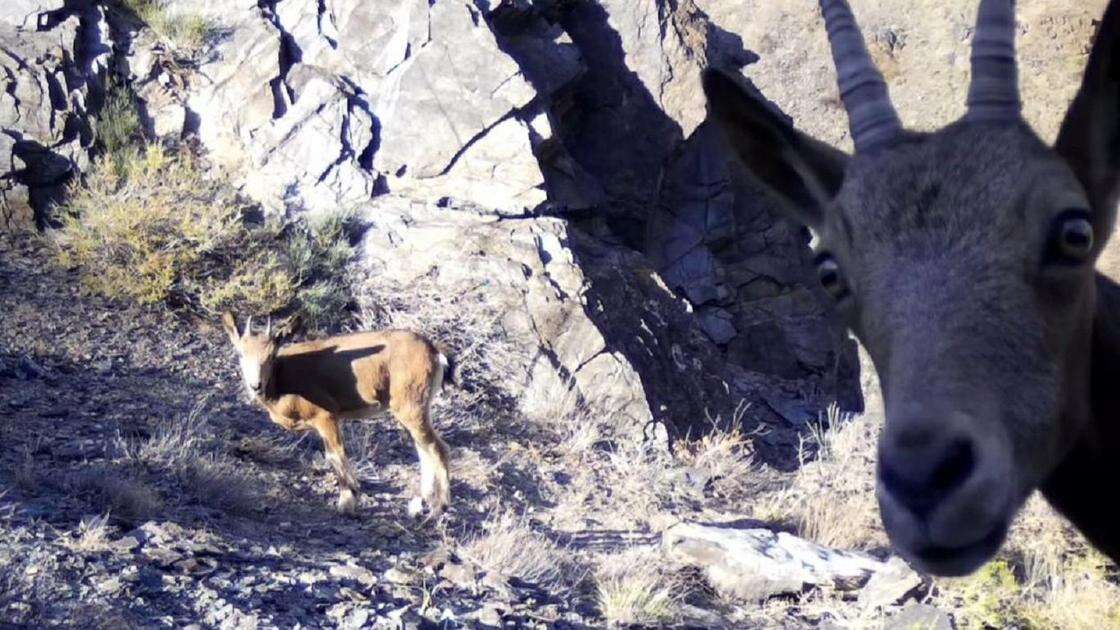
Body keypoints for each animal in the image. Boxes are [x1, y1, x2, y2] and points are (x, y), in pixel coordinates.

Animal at [220, 311, 452, 517]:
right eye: (240, 353)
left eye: (271, 355)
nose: (256, 385)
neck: (282, 380)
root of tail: (435, 354)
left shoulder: (326, 416)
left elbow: (334, 454)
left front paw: (347, 502)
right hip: (411, 409)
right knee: (423, 447)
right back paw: (421, 503)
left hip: (411, 405)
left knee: (438, 447)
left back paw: (440, 506)